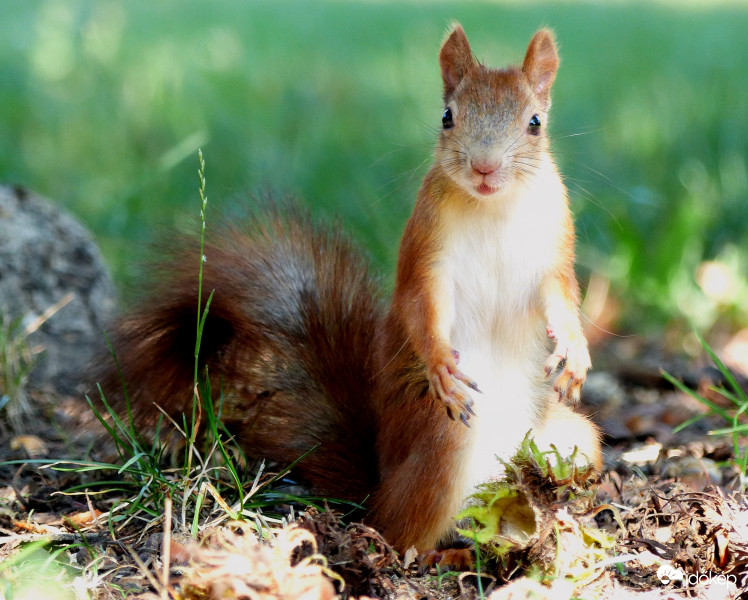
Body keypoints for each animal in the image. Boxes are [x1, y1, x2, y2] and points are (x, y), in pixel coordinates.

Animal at [96, 23, 604, 556]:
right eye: (447, 117)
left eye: (535, 123)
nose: (485, 167)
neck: (494, 206)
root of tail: (379, 484)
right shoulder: (427, 252)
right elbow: (422, 306)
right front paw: (440, 362)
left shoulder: (553, 247)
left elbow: (562, 295)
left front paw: (573, 349)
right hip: (444, 444)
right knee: (402, 529)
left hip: (571, 438)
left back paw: (553, 507)